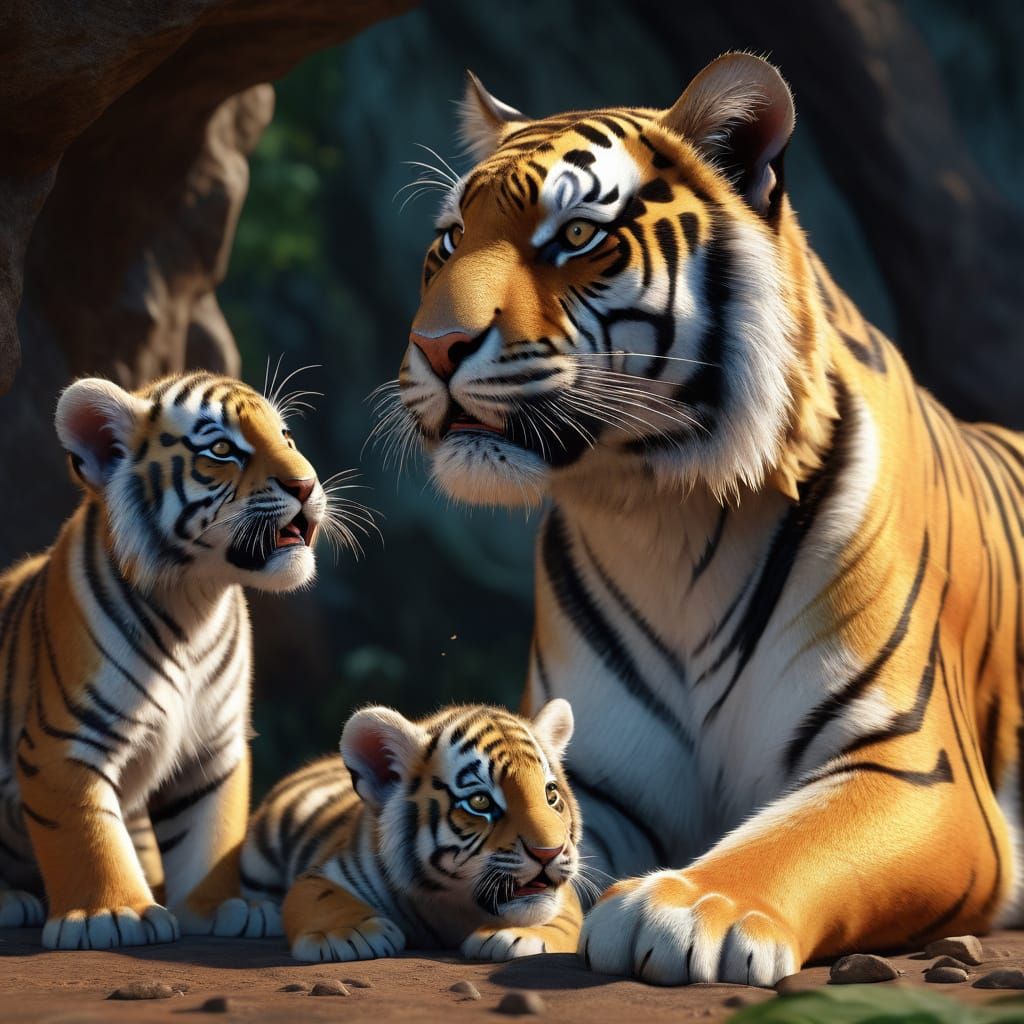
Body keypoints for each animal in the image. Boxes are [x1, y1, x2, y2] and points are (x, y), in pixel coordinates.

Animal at [0, 369, 344, 949]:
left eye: (286, 437)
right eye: (223, 449)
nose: (306, 484)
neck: (193, 601)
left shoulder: (213, 745)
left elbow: (210, 834)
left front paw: (222, 907)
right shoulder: (65, 742)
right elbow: (88, 833)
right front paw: (111, 914)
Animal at [237, 699, 583, 962]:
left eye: (550, 794)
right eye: (480, 801)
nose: (549, 853)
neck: (453, 903)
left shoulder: (563, 898)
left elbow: (561, 918)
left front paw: (515, 937)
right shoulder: (322, 874)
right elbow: (322, 897)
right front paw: (347, 934)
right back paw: (252, 913)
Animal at [390, 52, 1024, 986]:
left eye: (574, 236)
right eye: (448, 241)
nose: (434, 348)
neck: (657, 510)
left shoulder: (914, 767)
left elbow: (798, 838)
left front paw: (689, 908)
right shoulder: (596, 772)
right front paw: (530, 916)